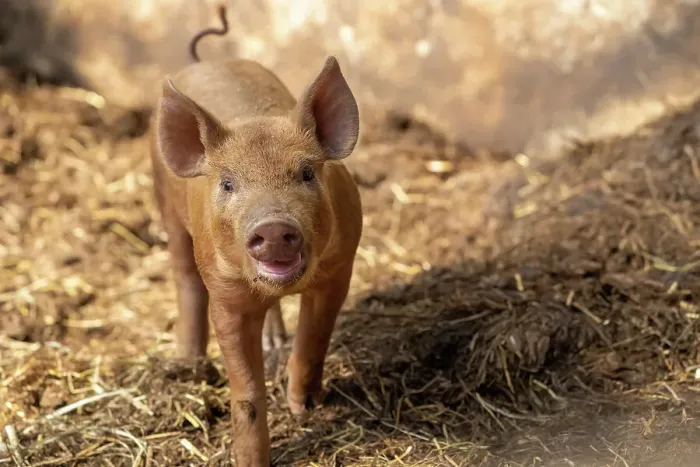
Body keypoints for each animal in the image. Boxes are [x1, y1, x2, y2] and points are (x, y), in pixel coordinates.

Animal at [148, 4, 363, 466]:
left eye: (306, 172)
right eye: (228, 184)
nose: (273, 226)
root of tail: (201, 61)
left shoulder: (341, 267)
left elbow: (314, 339)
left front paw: (303, 407)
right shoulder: (226, 296)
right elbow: (246, 393)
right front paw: (251, 458)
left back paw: (272, 342)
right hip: (168, 212)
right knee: (184, 278)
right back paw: (187, 359)